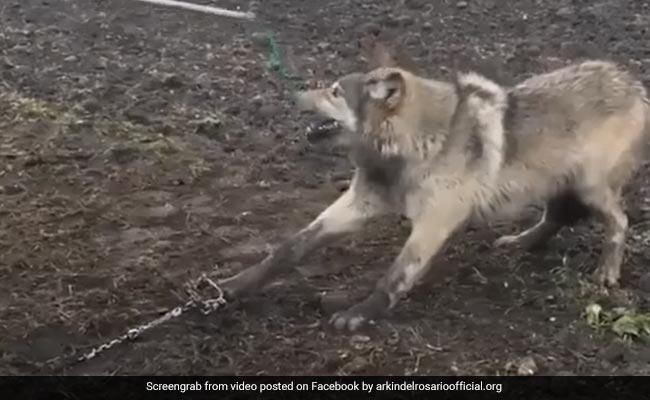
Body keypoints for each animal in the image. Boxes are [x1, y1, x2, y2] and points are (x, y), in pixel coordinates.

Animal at [219, 50, 650, 332]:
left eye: (336, 92)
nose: (291, 93)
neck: (412, 146)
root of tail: (633, 83)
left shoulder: (433, 223)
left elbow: (394, 276)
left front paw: (358, 314)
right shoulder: (357, 203)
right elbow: (290, 247)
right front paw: (233, 286)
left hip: (590, 187)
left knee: (618, 221)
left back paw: (606, 273)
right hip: (558, 183)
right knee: (556, 217)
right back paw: (521, 243)